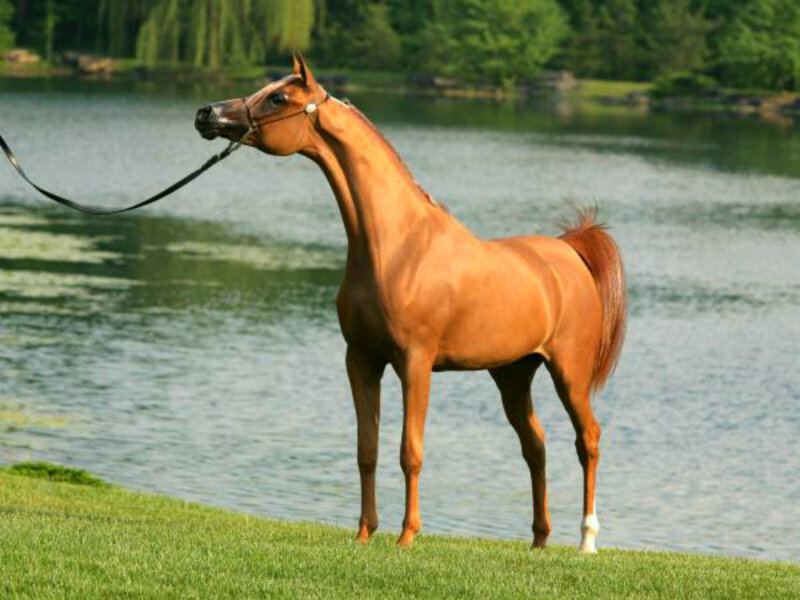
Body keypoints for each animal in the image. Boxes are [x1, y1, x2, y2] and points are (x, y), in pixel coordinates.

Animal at [195, 55, 627, 553]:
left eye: (278, 98)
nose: (206, 114)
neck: (396, 246)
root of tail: (568, 251)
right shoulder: (361, 360)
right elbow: (367, 450)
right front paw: (364, 533)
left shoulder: (415, 363)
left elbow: (410, 451)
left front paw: (406, 536)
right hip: (513, 375)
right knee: (535, 447)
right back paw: (538, 541)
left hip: (569, 372)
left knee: (588, 439)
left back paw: (586, 541)